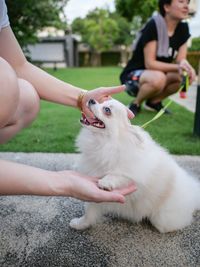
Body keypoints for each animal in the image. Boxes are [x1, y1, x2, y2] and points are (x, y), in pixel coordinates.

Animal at [69, 99, 199, 234]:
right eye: (101, 102)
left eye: (107, 110)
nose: (91, 100)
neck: (104, 143)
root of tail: (193, 192)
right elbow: (89, 211)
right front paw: (80, 224)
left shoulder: (137, 172)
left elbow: (120, 174)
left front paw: (106, 182)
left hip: (163, 219)